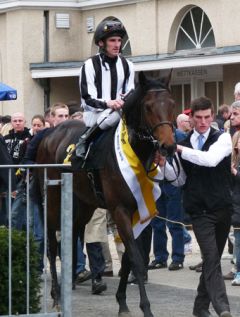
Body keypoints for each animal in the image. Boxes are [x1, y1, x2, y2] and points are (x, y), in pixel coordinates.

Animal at [35, 71, 175, 316]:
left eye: (172, 104)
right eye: (148, 107)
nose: (169, 146)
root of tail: (49, 133)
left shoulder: (139, 212)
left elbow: (128, 258)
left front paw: (122, 302)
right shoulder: (119, 210)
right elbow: (136, 258)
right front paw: (145, 307)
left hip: (84, 204)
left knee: (73, 234)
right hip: (52, 198)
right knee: (52, 243)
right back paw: (57, 296)